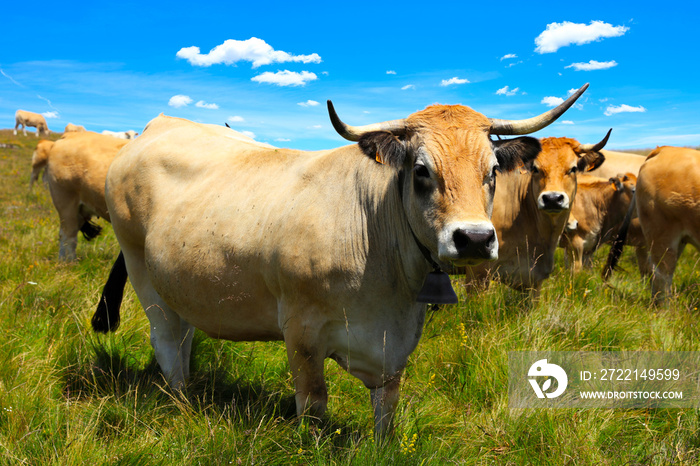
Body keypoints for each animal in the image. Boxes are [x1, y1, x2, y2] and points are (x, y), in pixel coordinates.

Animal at [90, 84, 588, 436]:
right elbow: (314, 404)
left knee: (184, 334)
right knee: (167, 343)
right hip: (143, 273)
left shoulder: (396, 344)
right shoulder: (301, 332)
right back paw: (185, 404)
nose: (474, 239)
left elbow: (387, 411)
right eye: (421, 171)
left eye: (493, 171)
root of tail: (160, 123)